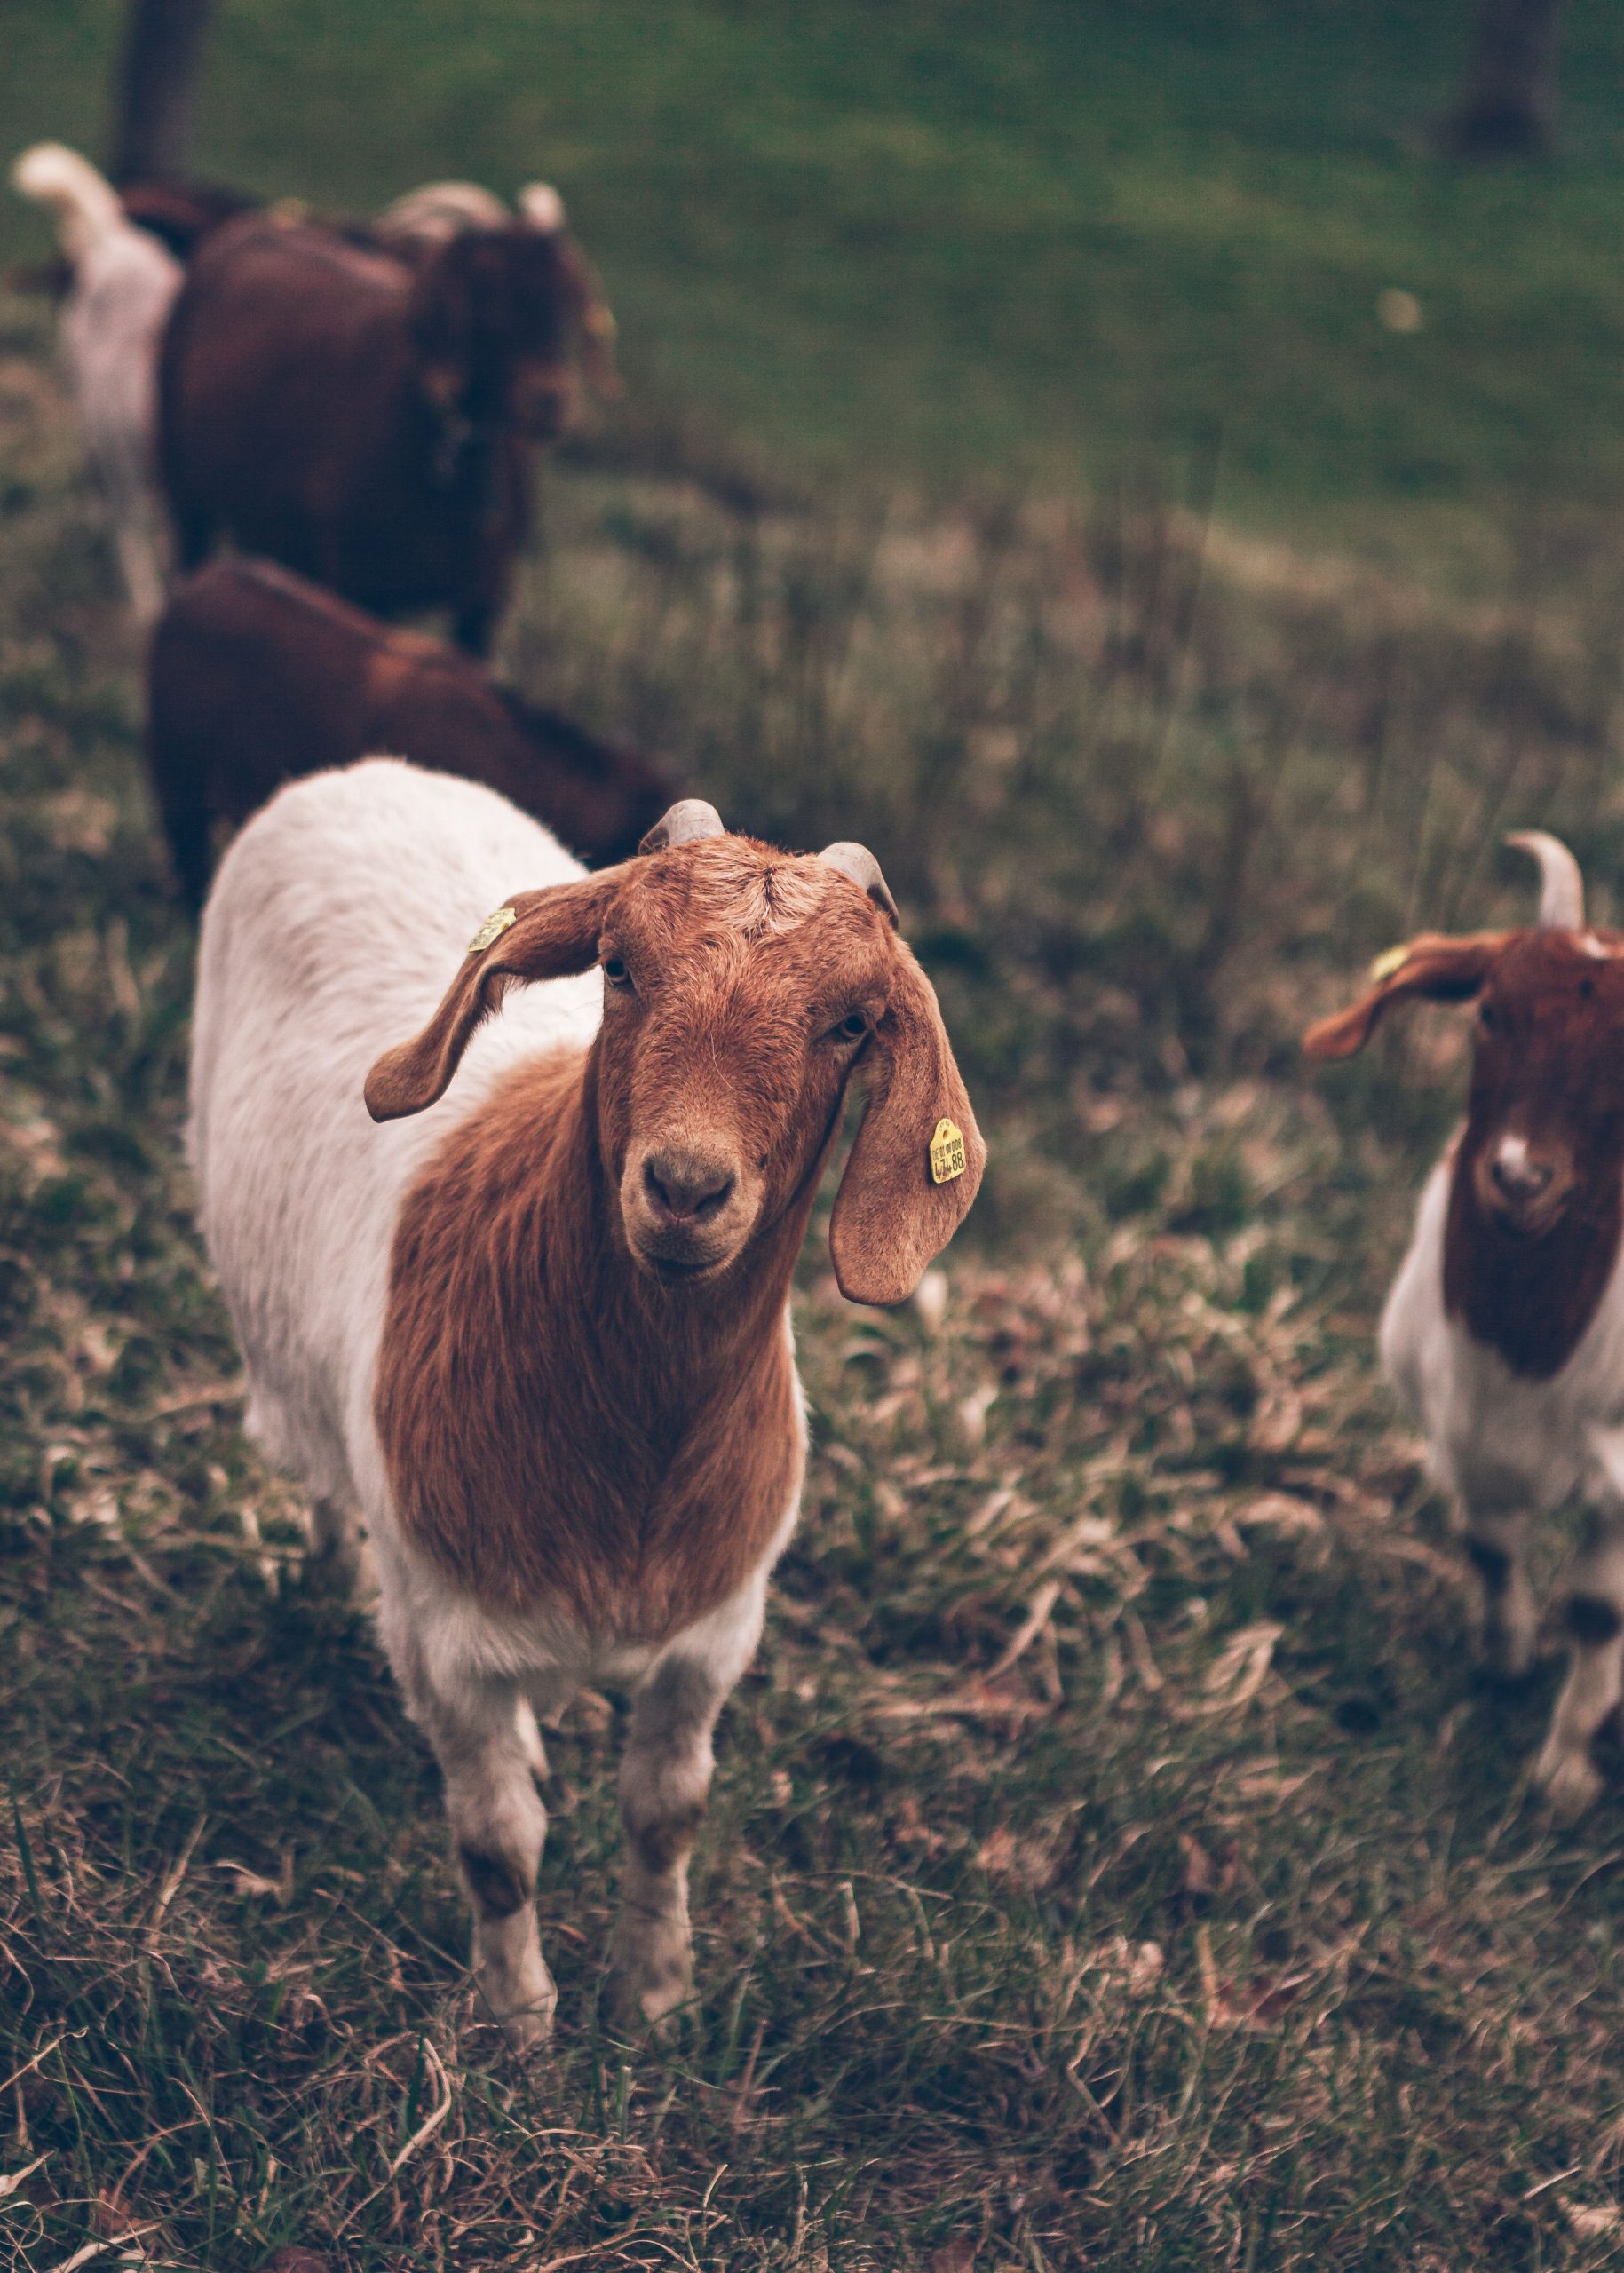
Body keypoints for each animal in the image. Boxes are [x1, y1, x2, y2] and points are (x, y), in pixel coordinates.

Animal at [157, 190, 616, 654]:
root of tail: (249, 227)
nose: (549, 401)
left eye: (566, 299)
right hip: (184, 487)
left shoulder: (484, 602)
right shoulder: (360, 584)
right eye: (485, 294)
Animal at [189, 761, 984, 2042]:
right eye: (617, 965)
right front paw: (518, 2023)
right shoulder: (450, 1642)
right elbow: (496, 1845)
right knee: (321, 1482)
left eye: (850, 1023)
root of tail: (362, 773)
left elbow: (666, 1815)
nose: (685, 1186)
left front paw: (651, 1995)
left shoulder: (713, 1635)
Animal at [1305, 831, 1624, 1817]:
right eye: (1487, 1011)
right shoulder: (1457, 1435)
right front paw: (1504, 1655)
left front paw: (1563, 1770)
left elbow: (1598, 1612)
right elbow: (1486, 1547)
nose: (1520, 1177)